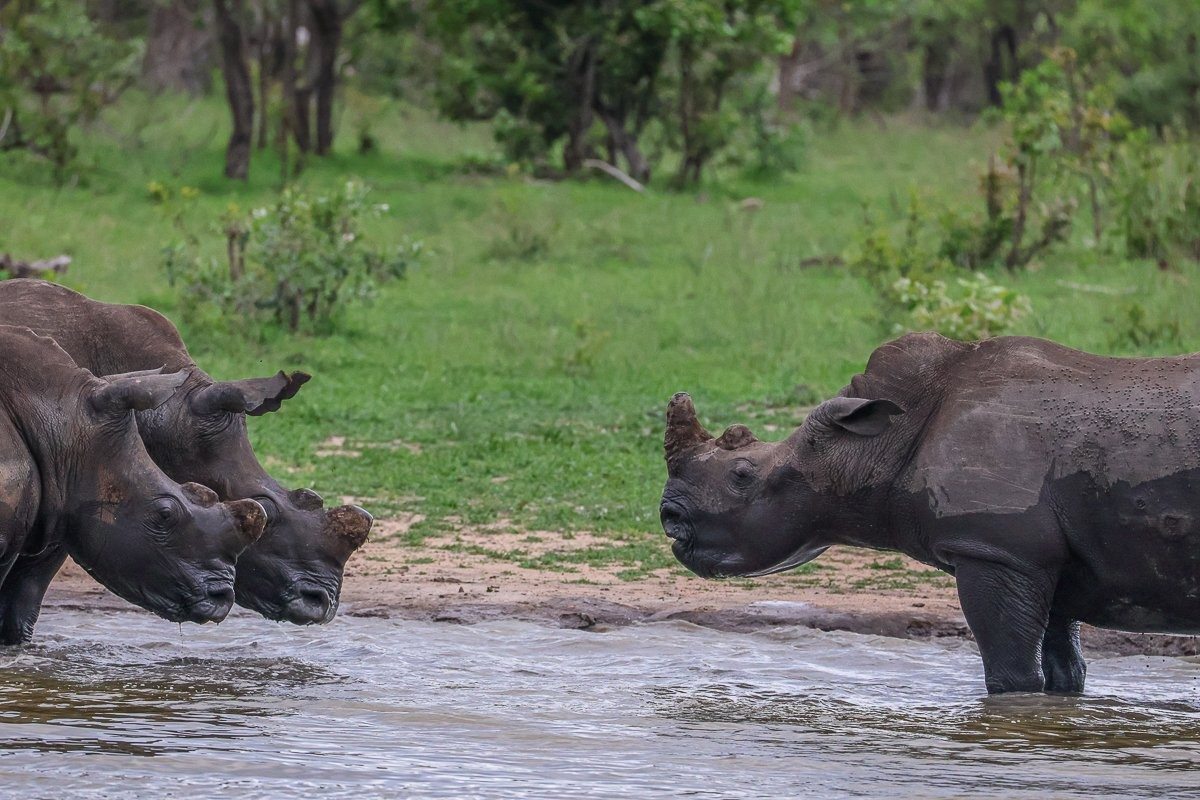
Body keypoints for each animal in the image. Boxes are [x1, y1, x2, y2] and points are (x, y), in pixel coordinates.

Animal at [661, 332, 1200, 694]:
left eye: (742, 475)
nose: (669, 517)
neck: (873, 443)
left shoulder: (996, 549)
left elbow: (1010, 675)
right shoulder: (1039, 558)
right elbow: (1064, 672)